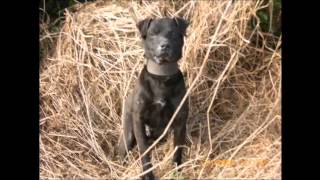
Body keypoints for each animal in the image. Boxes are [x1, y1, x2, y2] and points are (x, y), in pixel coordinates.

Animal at [119, 16, 189, 180]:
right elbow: (144, 153)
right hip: (128, 135)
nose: (164, 45)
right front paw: (148, 175)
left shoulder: (180, 121)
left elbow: (177, 150)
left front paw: (176, 171)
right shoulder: (138, 121)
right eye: (153, 34)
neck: (161, 77)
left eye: (173, 33)